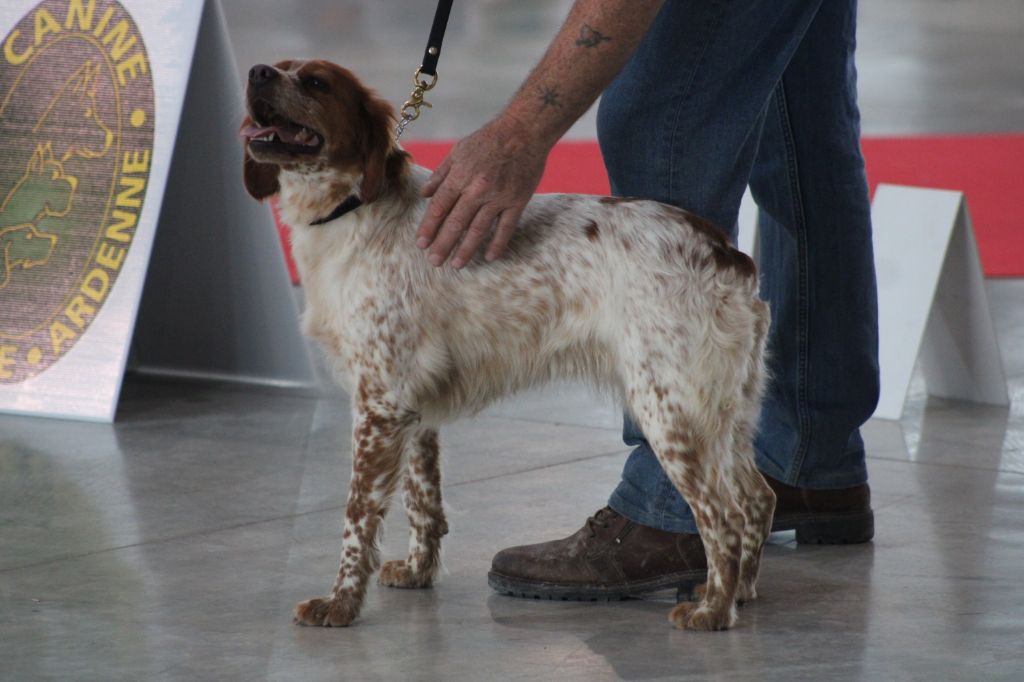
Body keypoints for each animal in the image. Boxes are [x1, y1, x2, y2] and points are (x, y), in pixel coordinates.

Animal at [237, 59, 770, 630]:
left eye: (315, 82)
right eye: (279, 68)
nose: (257, 72)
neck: (353, 207)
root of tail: (726, 254)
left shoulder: (380, 403)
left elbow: (358, 515)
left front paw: (339, 603)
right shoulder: (411, 407)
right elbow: (422, 500)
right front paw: (418, 572)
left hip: (670, 411)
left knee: (723, 516)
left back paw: (712, 610)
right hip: (727, 415)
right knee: (757, 500)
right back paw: (740, 592)